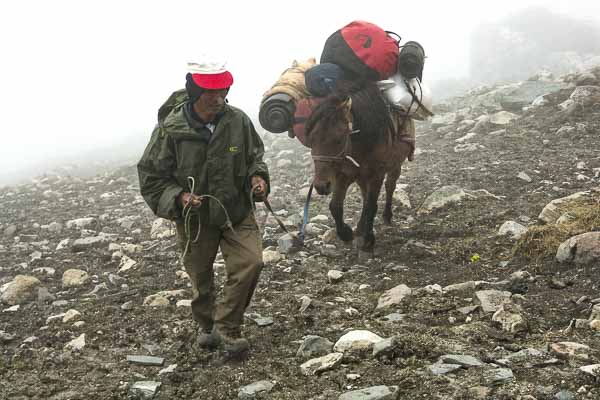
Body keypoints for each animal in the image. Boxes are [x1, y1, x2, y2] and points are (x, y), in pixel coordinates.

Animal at [302, 81, 414, 252]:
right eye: (311, 141)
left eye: (339, 139)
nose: (321, 186)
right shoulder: (343, 175)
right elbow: (335, 206)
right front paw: (346, 234)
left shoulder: (377, 175)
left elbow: (371, 205)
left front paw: (368, 239)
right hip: (361, 177)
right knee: (364, 196)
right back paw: (360, 227)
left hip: (395, 165)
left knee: (389, 187)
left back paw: (386, 216)